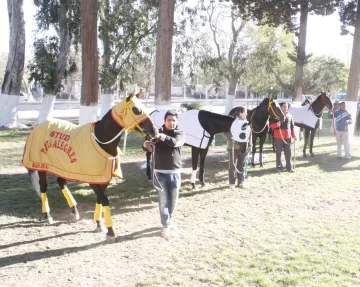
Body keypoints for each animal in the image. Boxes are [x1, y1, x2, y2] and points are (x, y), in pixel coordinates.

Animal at [23, 91, 156, 241]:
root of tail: (38, 126)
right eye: (136, 110)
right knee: (43, 187)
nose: (154, 131)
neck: (101, 140)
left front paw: (98, 224)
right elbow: (104, 200)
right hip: (42, 167)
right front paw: (110, 231)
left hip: (63, 167)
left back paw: (74, 211)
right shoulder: (92, 179)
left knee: (61, 182)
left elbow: (100, 198)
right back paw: (48, 215)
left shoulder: (103, 178)